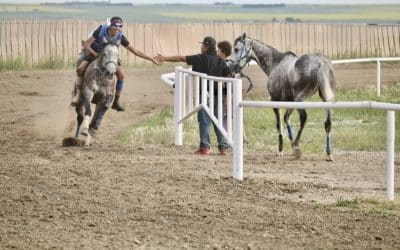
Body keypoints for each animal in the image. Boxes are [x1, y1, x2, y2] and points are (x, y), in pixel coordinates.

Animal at [228, 32, 334, 160]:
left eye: (236, 49)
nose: (230, 67)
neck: (275, 63)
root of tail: (320, 63)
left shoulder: (275, 101)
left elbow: (279, 125)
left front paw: (281, 150)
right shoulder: (290, 102)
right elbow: (286, 119)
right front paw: (290, 143)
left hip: (300, 99)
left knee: (304, 118)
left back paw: (297, 146)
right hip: (325, 99)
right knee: (328, 124)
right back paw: (328, 153)